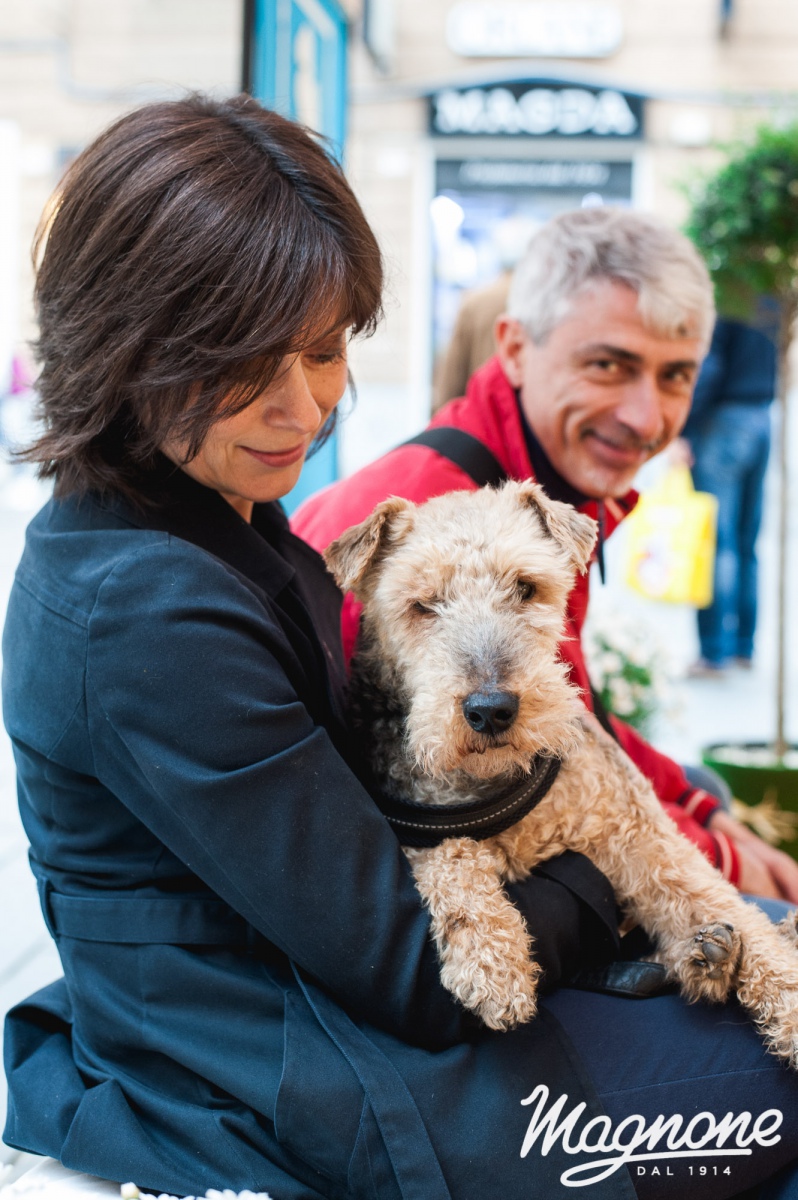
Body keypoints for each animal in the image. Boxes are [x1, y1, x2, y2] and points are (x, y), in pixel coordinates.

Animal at [324, 480, 798, 1065]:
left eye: (525, 587)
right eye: (422, 604)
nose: (491, 710)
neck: (505, 783)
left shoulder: (643, 836)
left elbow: (728, 907)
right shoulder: (419, 831)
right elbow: (455, 860)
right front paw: (493, 965)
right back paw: (704, 958)